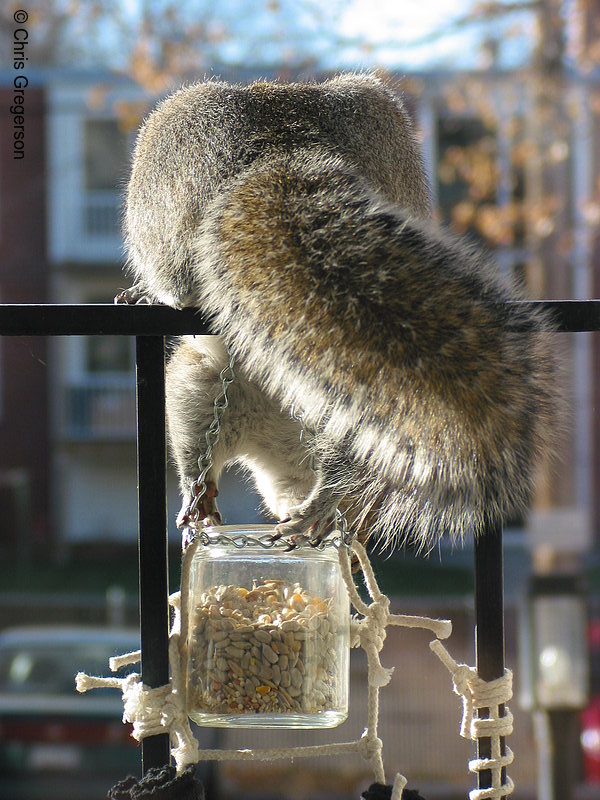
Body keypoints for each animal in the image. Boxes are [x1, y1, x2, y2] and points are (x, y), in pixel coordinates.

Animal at [123, 73, 556, 552]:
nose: (357, 534)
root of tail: (281, 139)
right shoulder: (208, 388)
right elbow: (194, 439)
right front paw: (201, 496)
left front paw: (319, 506)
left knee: (175, 274)